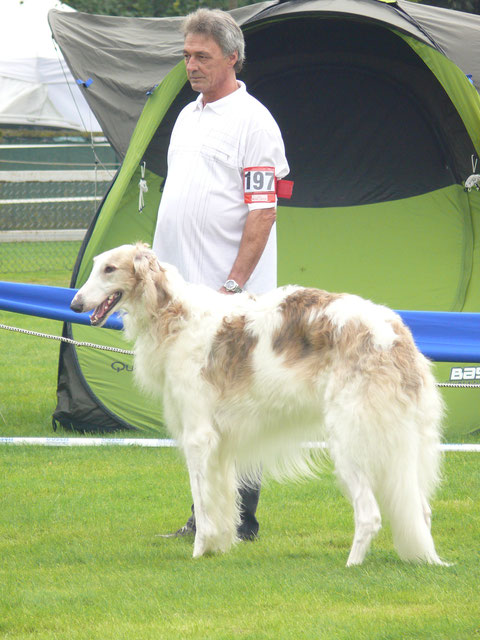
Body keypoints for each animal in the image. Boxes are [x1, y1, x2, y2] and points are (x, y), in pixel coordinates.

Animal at [71, 241, 446, 564]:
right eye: (95, 265)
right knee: (422, 511)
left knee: (370, 515)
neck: (174, 314)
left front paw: (199, 550)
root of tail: (395, 335)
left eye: (109, 268)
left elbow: (202, 504)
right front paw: (220, 546)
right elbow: (222, 502)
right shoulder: (221, 445)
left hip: (350, 441)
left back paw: (352, 564)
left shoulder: (198, 436)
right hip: (408, 445)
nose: (74, 304)